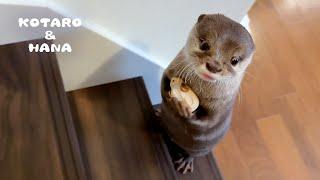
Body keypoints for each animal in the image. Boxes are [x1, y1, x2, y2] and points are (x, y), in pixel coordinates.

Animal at [158, 14, 255, 174]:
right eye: (204, 45)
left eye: (234, 60)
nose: (214, 66)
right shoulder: (171, 69)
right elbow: (163, 83)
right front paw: (171, 99)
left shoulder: (220, 107)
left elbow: (207, 122)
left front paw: (183, 108)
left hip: (203, 149)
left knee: (193, 154)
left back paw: (185, 162)